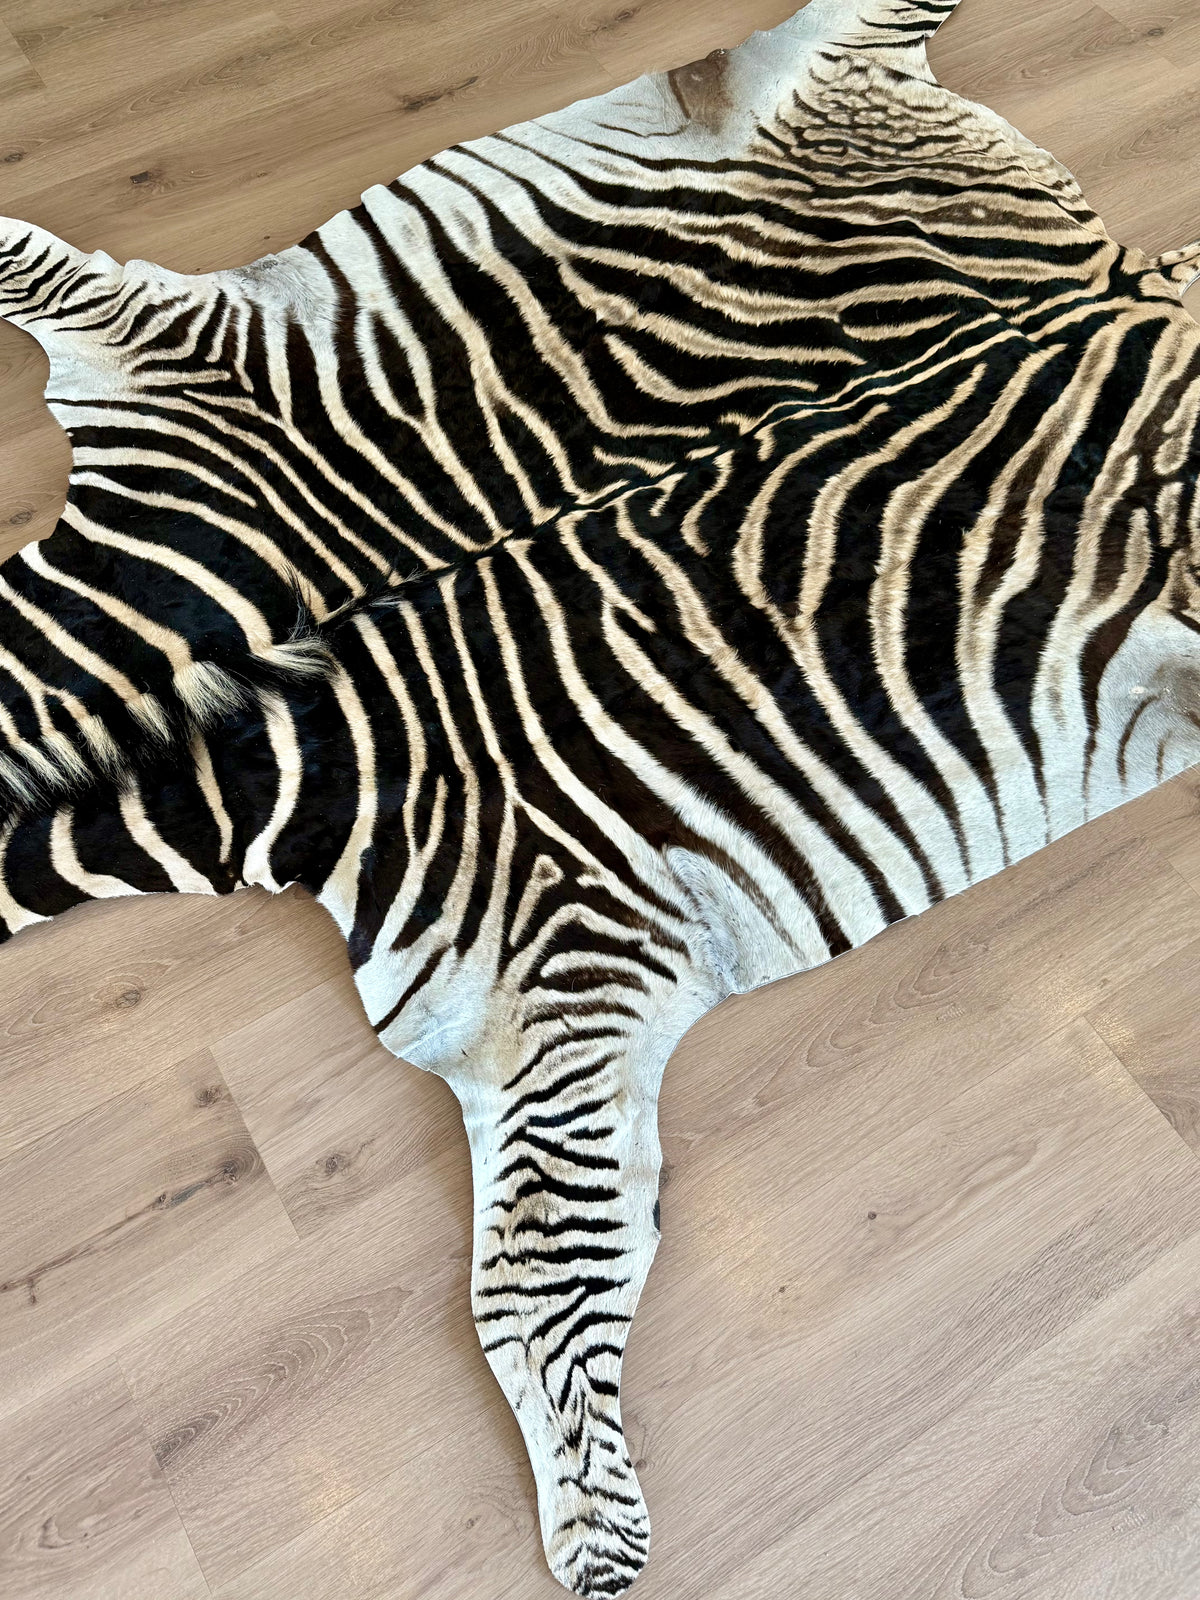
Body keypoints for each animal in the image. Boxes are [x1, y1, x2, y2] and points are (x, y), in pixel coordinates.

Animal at [3, 0, 1200, 1593]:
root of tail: (1104, 256)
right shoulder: (548, 1003)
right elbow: (542, 1278)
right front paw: (598, 1524)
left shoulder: (567, 961)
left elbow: (528, 1291)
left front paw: (595, 1540)